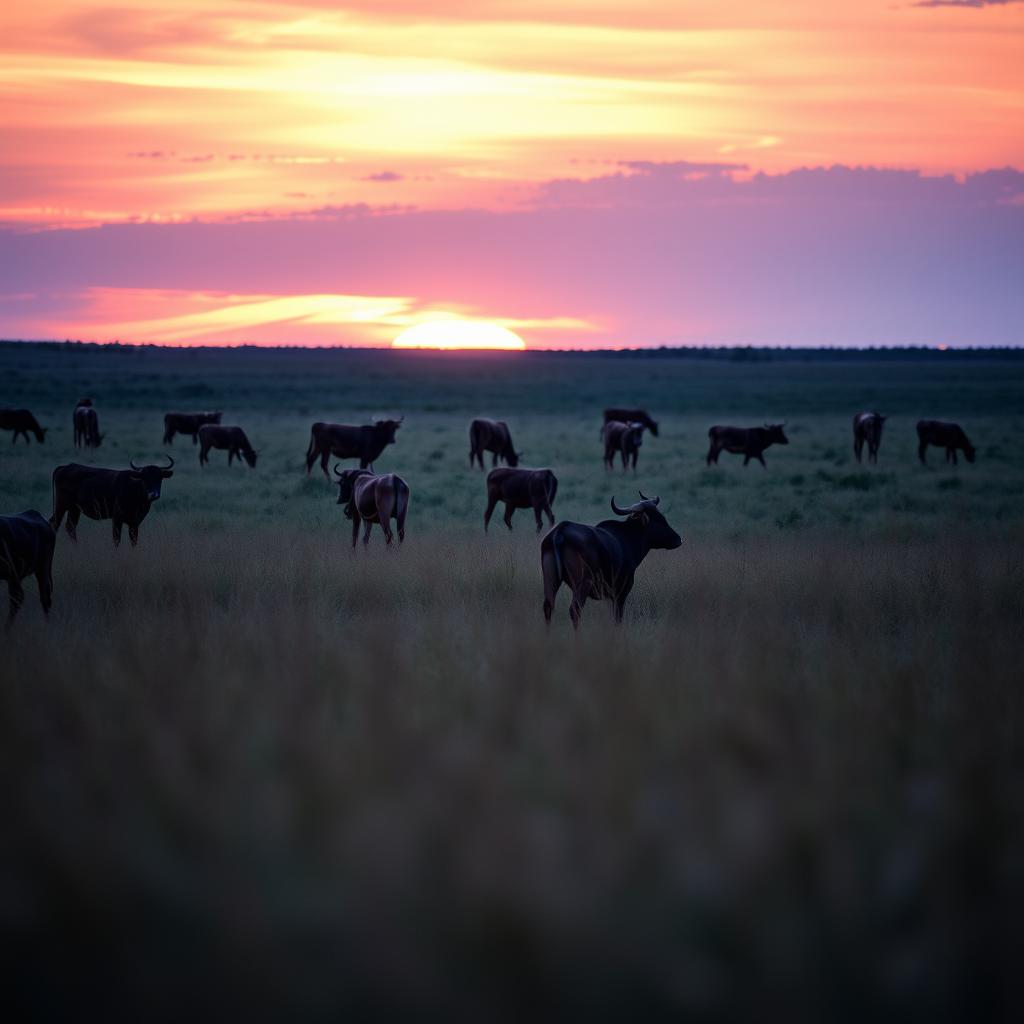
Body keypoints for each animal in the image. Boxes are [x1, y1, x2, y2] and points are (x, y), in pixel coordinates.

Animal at [540, 491, 684, 626]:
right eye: (658, 520)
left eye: (662, 517)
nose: (678, 540)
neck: (628, 538)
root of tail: (559, 532)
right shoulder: (620, 593)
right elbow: (618, 619)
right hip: (583, 583)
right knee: (575, 610)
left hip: (551, 579)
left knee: (548, 607)